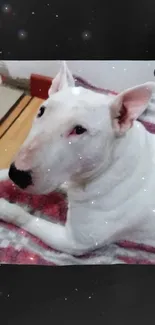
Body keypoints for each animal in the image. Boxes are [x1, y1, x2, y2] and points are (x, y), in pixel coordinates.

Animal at [0, 61, 155, 256]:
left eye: (79, 130)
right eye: (42, 110)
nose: (18, 174)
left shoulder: (73, 242)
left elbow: (23, 216)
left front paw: (3, 207)